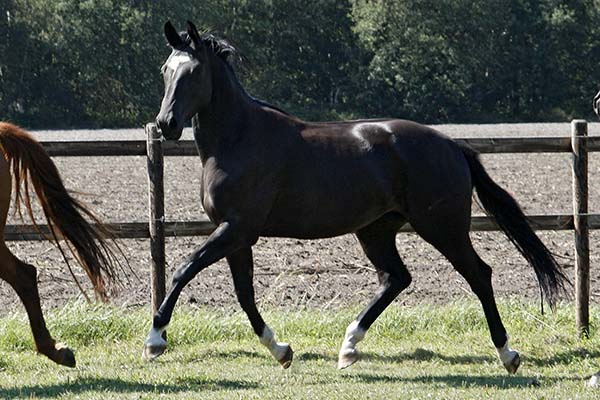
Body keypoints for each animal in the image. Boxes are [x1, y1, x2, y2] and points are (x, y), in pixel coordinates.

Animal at [143, 21, 568, 372]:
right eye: (166, 70)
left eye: (194, 71)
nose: (166, 124)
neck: (239, 140)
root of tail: (451, 145)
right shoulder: (235, 233)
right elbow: (244, 294)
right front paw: (281, 350)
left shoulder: (236, 229)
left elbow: (184, 270)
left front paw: (155, 340)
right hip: (376, 230)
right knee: (396, 278)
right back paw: (348, 347)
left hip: (442, 227)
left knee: (478, 274)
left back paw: (508, 354)